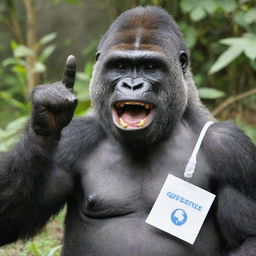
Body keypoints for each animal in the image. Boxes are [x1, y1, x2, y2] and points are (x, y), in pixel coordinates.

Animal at [0, 6, 256, 256]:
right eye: (120, 66)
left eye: (150, 67)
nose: (132, 85)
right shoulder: (72, 140)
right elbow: (14, 218)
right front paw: (47, 116)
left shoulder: (231, 149)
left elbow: (248, 238)